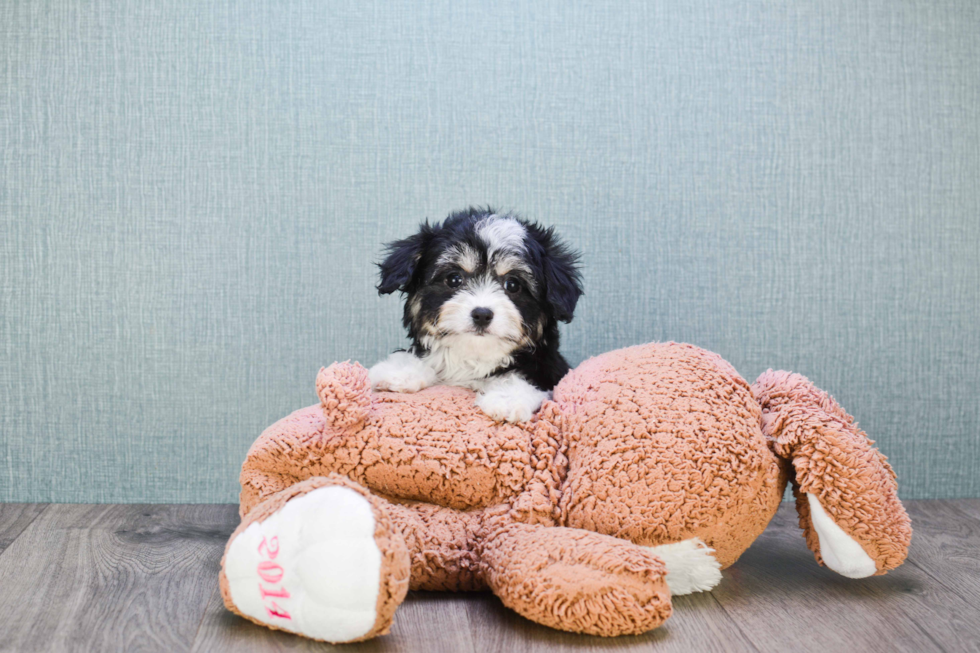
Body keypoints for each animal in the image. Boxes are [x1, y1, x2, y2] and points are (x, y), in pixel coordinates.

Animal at [368, 208, 580, 422]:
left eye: (513, 285)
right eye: (454, 279)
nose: (482, 315)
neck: (472, 357)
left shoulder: (550, 369)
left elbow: (532, 378)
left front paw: (507, 399)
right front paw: (400, 371)